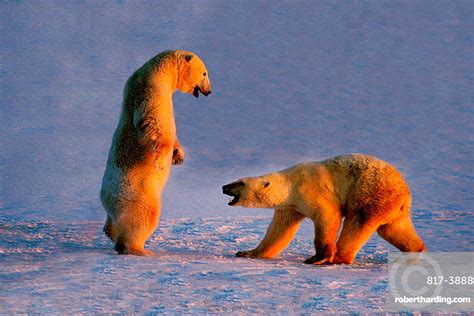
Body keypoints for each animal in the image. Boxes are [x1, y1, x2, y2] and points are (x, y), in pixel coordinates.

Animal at [101, 50, 212, 256]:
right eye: (204, 73)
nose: (210, 91)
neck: (157, 69)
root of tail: (105, 197)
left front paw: (178, 155)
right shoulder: (152, 88)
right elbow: (155, 123)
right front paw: (161, 160)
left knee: (112, 223)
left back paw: (112, 233)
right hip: (137, 193)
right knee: (144, 216)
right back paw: (139, 250)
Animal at [222, 154, 426, 264]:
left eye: (240, 183)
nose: (224, 187)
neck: (289, 184)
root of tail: (404, 192)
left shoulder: (311, 188)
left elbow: (327, 216)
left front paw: (318, 257)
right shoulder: (290, 207)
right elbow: (278, 231)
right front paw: (247, 252)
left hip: (371, 192)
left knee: (357, 222)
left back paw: (336, 258)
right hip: (394, 209)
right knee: (393, 229)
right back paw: (416, 251)